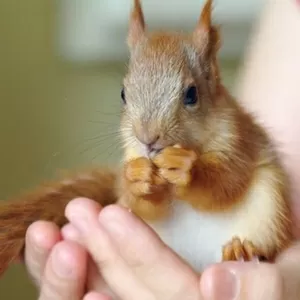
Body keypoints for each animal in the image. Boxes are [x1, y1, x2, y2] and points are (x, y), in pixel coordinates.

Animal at [0, 0, 292, 278]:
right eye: (122, 93)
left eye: (192, 94)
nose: (147, 138)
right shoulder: (131, 152)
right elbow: (143, 205)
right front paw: (138, 177)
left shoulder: (237, 140)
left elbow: (227, 180)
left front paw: (186, 168)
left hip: (269, 209)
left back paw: (241, 248)